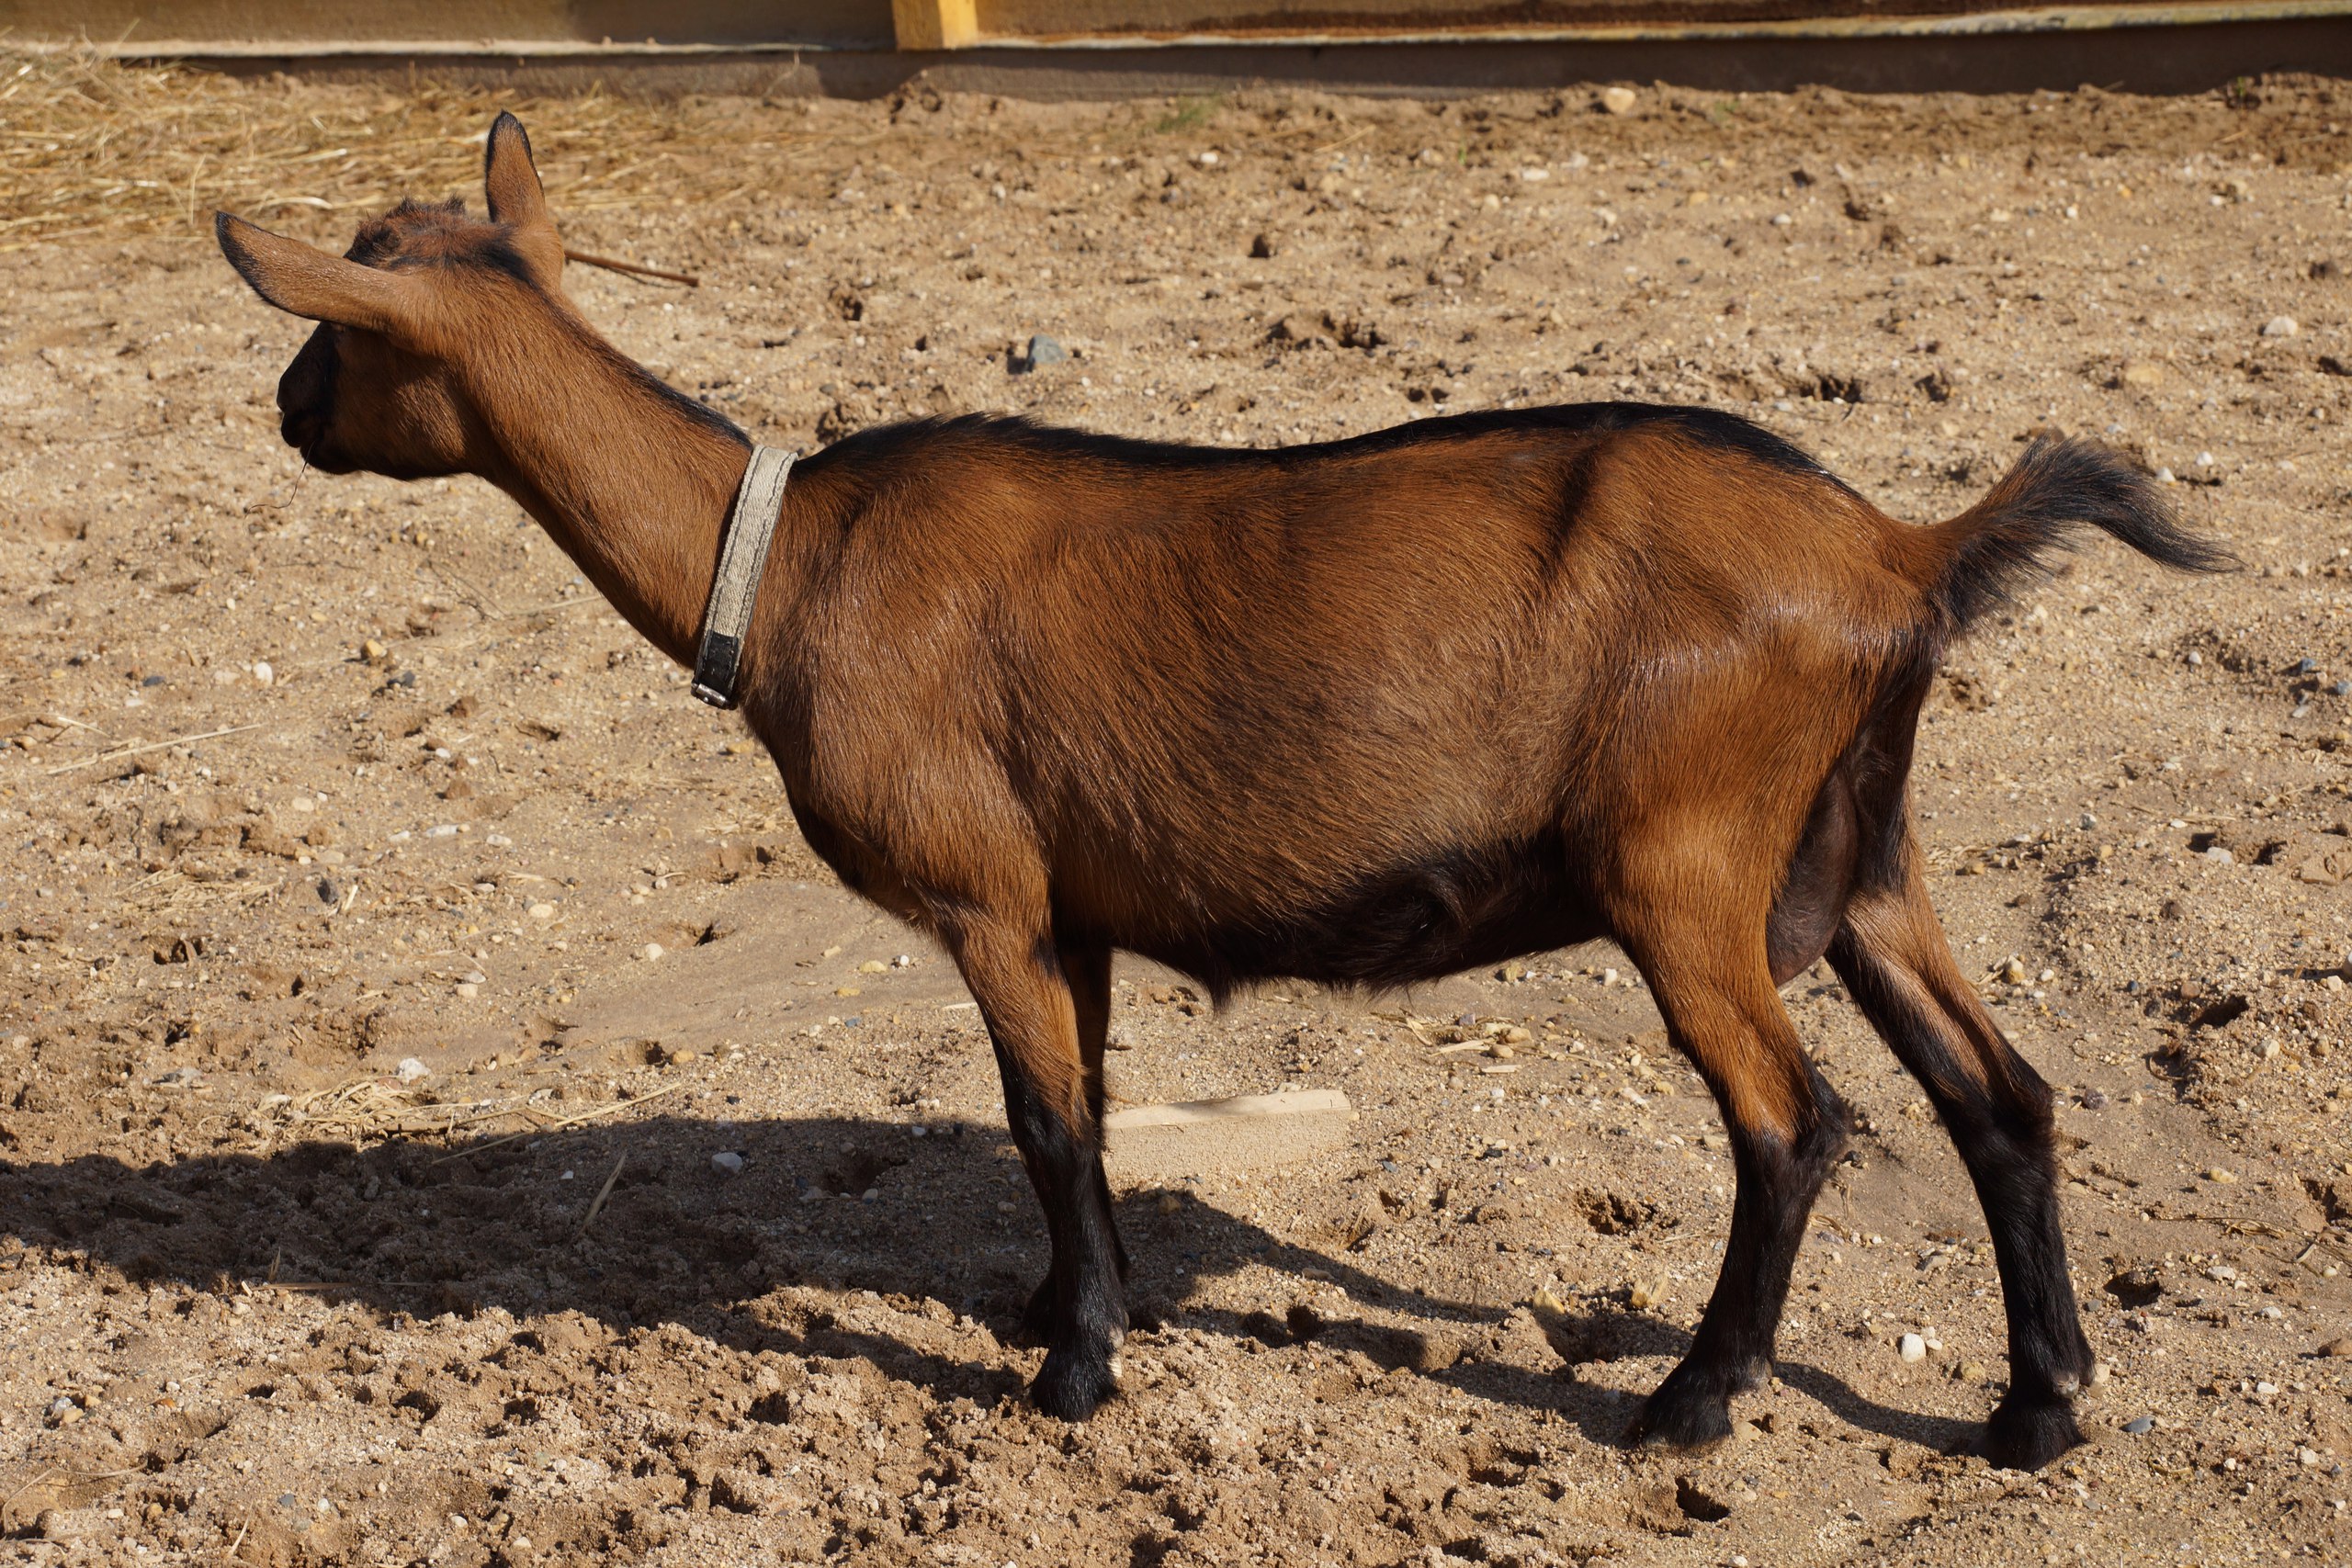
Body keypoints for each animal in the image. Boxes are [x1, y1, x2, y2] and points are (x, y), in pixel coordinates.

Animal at [216, 113, 2220, 1476]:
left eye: (345, 332)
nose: (285, 415)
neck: (782, 568)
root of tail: (1898, 550)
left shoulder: (985, 895)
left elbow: (1041, 1124)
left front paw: (1073, 1370)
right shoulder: (1074, 903)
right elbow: (1090, 1116)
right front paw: (1055, 1305)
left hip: (1686, 866)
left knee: (1793, 1123)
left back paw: (1690, 1399)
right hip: (1862, 856)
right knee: (2000, 1096)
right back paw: (2036, 1408)